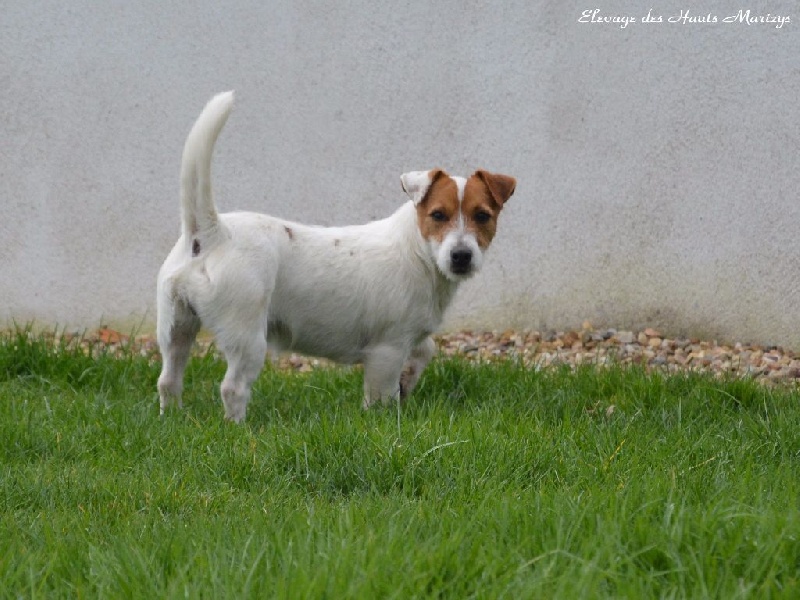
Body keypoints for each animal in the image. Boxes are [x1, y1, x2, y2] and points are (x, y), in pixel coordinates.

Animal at [157, 94, 520, 422]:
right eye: (438, 215)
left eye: (483, 216)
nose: (461, 256)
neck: (418, 252)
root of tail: (211, 233)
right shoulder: (387, 349)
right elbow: (381, 395)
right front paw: (385, 421)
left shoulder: (410, 338)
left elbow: (425, 350)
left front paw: (409, 381)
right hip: (246, 336)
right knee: (232, 388)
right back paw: (238, 428)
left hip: (176, 326)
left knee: (168, 379)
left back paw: (172, 419)